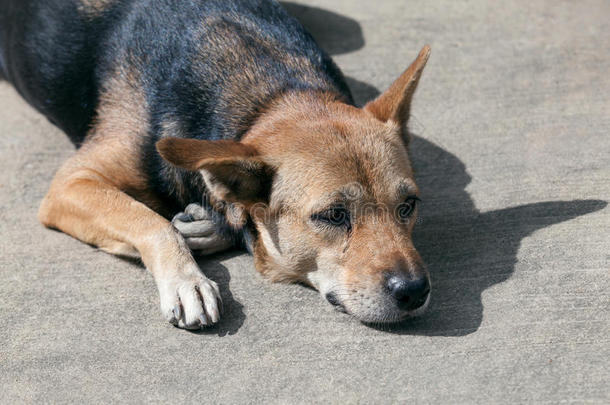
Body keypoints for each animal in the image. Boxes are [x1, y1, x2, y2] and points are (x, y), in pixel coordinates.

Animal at [0, 0, 430, 328]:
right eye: (334, 215)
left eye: (408, 206)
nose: (415, 291)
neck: (273, 95)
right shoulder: (70, 183)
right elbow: (151, 222)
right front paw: (186, 279)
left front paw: (212, 224)